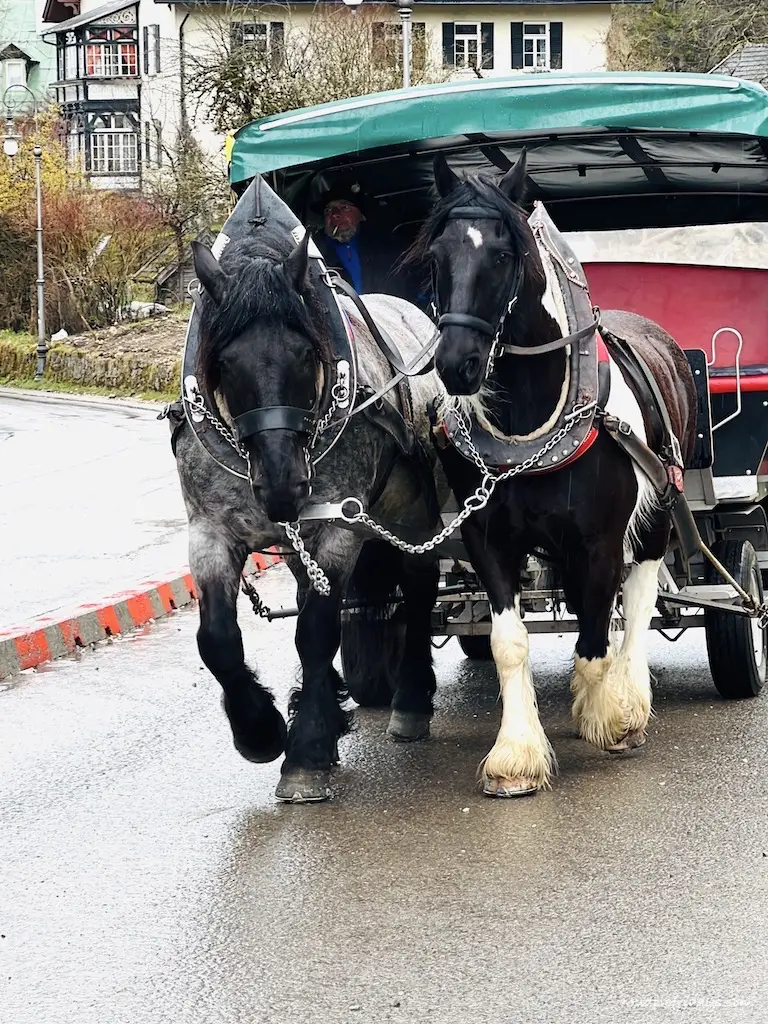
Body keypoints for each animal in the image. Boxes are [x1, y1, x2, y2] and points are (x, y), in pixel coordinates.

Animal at [173, 224, 446, 802]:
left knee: (417, 594)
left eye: (304, 352)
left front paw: (307, 753)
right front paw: (259, 732)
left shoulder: (337, 529)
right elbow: (217, 641)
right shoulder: (208, 531)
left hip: (414, 517)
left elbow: (317, 633)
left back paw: (411, 700)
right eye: (224, 362)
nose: (283, 485)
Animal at [415, 152, 697, 797]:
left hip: (658, 509)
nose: (457, 365)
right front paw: (516, 754)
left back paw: (630, 694)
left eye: (503, 254)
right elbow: (510, 642)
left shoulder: (599, 539)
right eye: (436, 257)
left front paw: (609, 715)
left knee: (639, 595)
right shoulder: (487, 537)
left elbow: (596, 638)